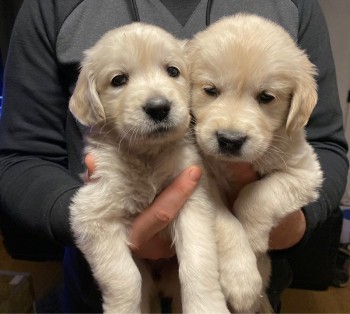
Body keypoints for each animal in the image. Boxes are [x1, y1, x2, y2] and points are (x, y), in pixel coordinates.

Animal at [69, 22, 260, 314]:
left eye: (172, 71)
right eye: (118, 80)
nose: (159, 108)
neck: (148, 157)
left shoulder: (193, 202)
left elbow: (198, 261)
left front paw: (207, 306)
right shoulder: (92, 215)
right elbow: (125, 278)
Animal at [187, 14, 324, 312]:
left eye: (266, 97)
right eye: (210, 90)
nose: (229, 140)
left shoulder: (305, 172)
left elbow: (256, 195)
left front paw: (252, 240)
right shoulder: (202, 180)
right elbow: (225, 222)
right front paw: (241, 277)